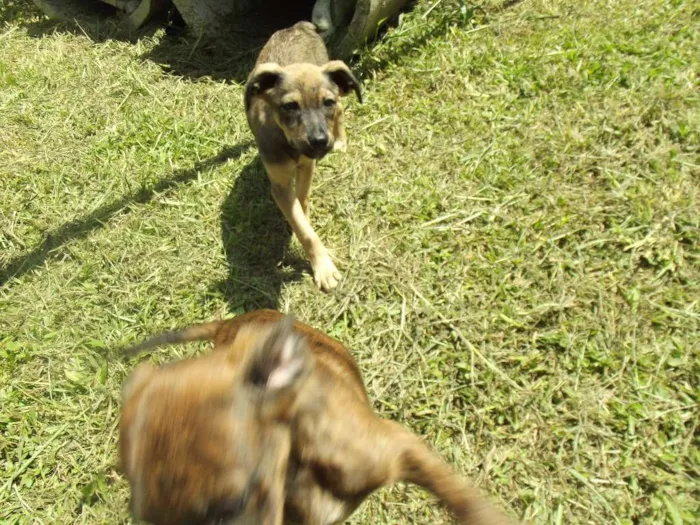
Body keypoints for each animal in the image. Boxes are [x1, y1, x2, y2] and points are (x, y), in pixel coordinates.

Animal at [243, 21, 360, 290]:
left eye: (326, 103)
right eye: (290, 106)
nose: (319, 142)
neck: (290, 146)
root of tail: (298, 25)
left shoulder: (308, 165)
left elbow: (303, 200)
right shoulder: (280, 185)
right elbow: (304, 228)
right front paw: (322, 265)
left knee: (342, 109)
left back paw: (340, 139)